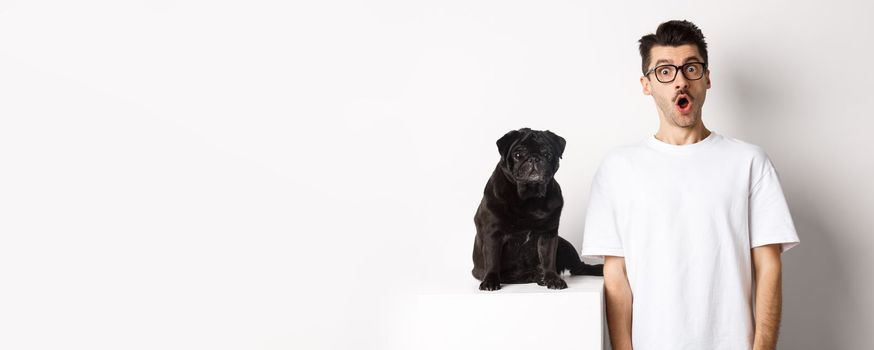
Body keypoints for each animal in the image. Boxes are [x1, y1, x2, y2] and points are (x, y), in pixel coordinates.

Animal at [470, 128, 600, 290]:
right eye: (517, 155)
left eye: (547, 154)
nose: (533, 158)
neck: (529, 197)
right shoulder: (493, 234)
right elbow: (492, 260)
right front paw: (490, 281)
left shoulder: (548, 234)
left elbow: (548, 259)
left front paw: (553, 279)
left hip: (564, 244)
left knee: (580, 268)